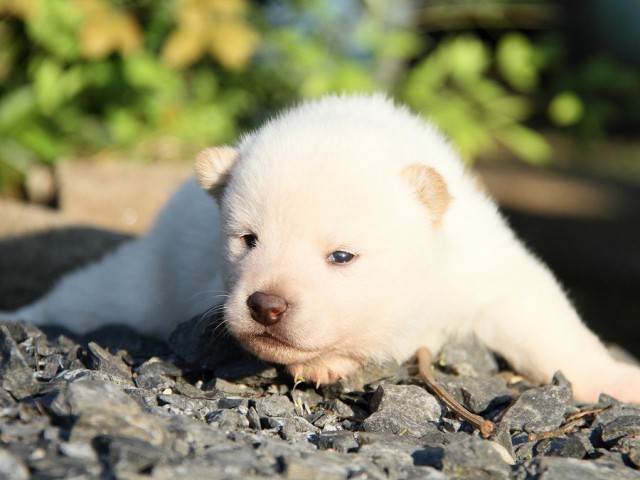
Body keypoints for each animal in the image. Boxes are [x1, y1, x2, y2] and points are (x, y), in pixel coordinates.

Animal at [6, 95, 640, 404]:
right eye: (248, 238)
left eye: (341, 256)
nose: (266, 305)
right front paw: (327, 358)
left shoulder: (479, 265)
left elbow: (540, 315)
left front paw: (616, 379)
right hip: (149, 278)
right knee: (96, 293)